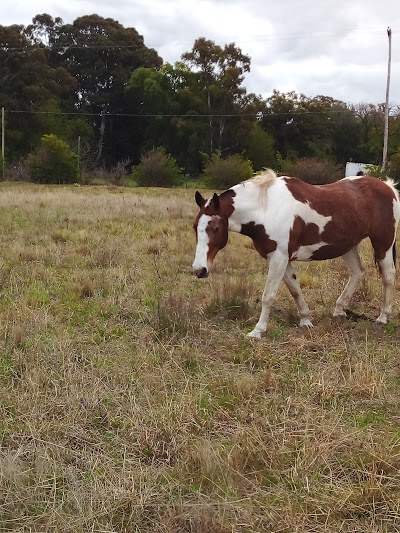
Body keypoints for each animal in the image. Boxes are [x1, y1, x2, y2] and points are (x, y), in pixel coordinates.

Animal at [191, 168, 400, 338]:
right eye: (195, 227)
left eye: (215, 228)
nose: (199, 270)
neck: (266, 209)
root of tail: (389, 187)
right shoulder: (281, 259)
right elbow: (295, 290)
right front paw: (306, 320)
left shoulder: (279, 258)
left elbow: (268, 296)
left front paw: (258, 331)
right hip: (348, 246)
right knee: (357, 272)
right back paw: (340, 310)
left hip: (383, 244)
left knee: (388, 276)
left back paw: (382, 317)